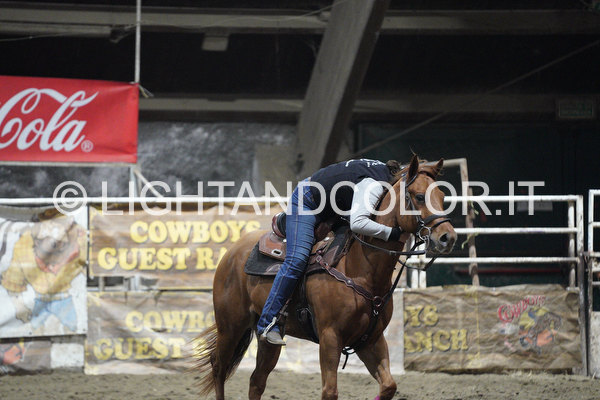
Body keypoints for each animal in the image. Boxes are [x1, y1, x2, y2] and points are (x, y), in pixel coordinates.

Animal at [195, 155, 457, 400]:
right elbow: (330, 391)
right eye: (420, 196)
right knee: (219, 367)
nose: (448, 237)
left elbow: (389, 386)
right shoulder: (330, 337)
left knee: (256, 381)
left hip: (267, 341)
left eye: (442, 196)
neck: (359, 271)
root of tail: (232, 252)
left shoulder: (370, 339)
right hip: (230, 326)